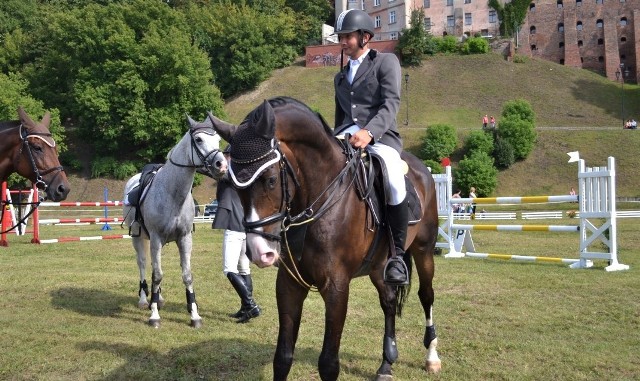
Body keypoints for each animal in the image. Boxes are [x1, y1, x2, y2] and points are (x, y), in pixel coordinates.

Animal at [208, 96, 442, 378]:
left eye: (271, 180)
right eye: (233, 184)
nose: (260, 252)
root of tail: (422, 169)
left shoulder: (336, 287)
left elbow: (328, 363)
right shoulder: (289, 284)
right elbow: (282, 357)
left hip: (424, 249)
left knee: (426, 295)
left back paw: (432, 356)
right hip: (379, 265)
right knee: (388, 301)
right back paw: (387, 362)